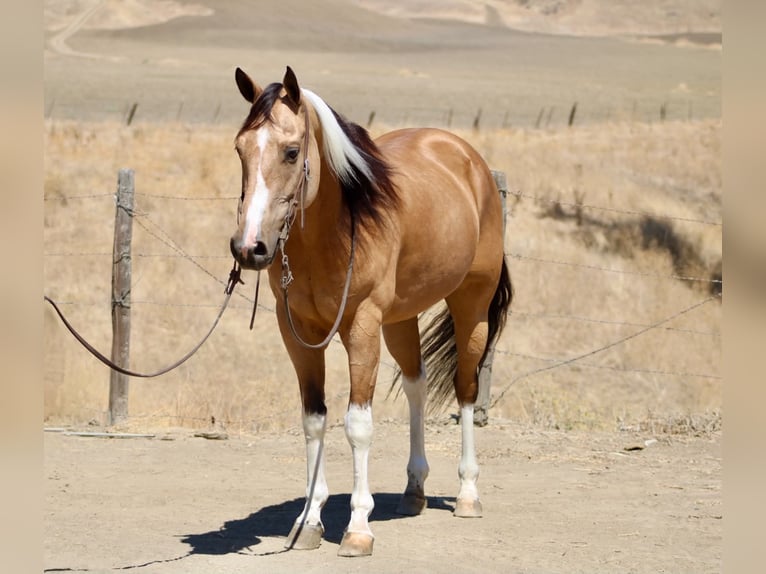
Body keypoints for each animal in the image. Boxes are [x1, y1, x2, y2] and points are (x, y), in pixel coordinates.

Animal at [229, 66, 512, 557]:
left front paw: (358, 528)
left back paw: (467, 494)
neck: (340, 229)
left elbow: (358, 424)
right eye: (239, 149)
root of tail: (468, 158)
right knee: (417, 384)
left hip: (471, 306)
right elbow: (314, 420)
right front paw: (309, 521)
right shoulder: (298, 332)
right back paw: (414, 490)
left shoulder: (361, 326)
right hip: (400, 320)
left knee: (466, 390)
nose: (250, 248)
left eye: (291, 152)